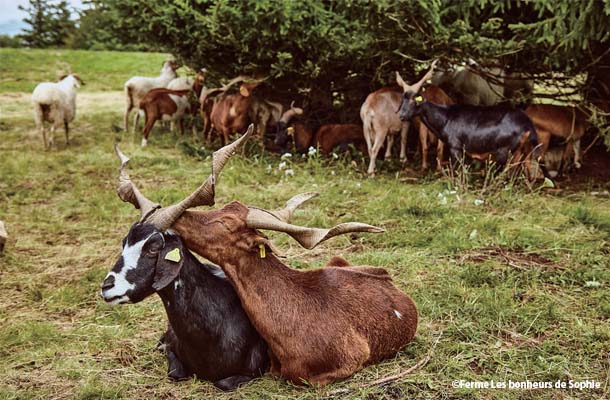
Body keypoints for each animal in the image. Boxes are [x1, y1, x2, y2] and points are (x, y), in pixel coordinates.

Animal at [394, 61, 548, 180]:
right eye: (403, 98)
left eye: (415, 100)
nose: (401, 115)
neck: (444, 121)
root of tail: (528, 126)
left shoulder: (456, 145)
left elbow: (457, 172)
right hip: (524, 150)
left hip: (506, 149)